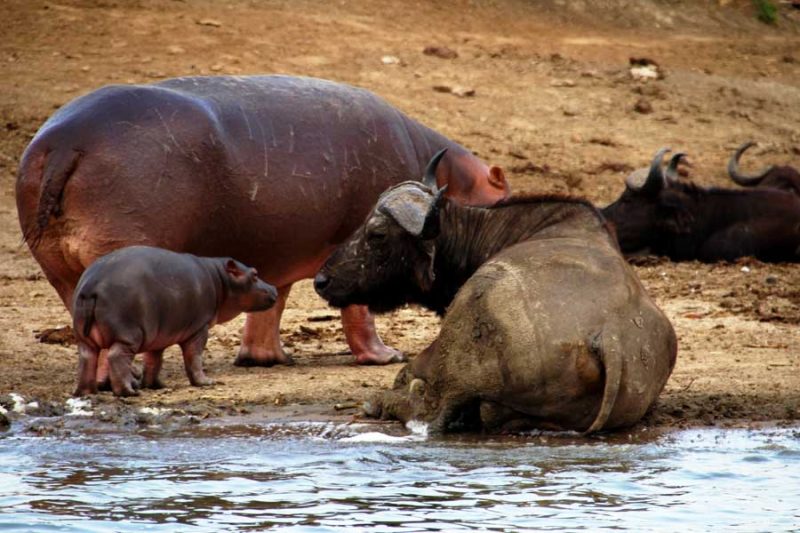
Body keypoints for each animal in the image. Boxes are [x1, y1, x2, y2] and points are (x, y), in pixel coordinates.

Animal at [15, 75, 510, 384]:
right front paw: (387, 357)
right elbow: (357, 309)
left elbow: (271, 305)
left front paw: (267, 360)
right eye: (503, 193)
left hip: (61, 269)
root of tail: (65, 143)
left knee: (85, 327)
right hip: (119, 250)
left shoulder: (279, 252)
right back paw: (129, 377)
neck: (446, 179)